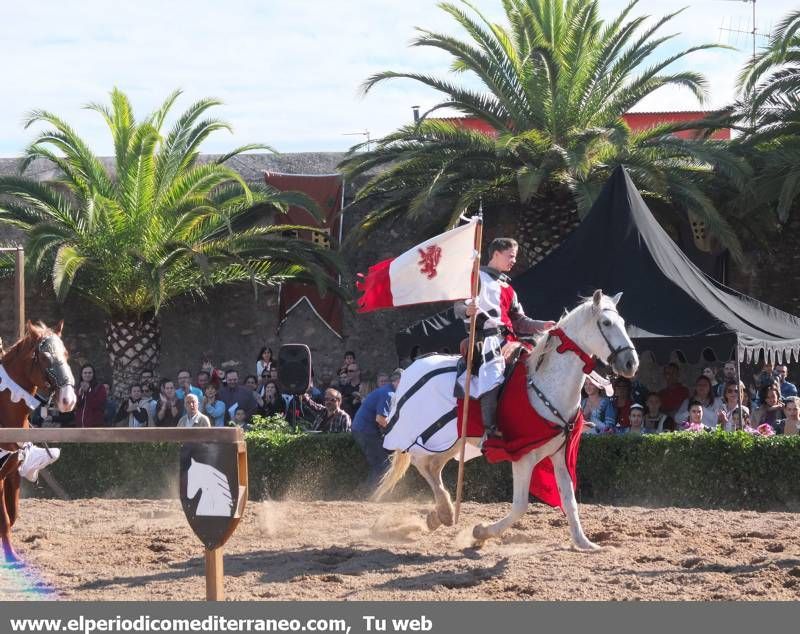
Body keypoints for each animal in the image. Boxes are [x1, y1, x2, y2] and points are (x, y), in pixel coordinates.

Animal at [0, 324, 76, 560]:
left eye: (66, 354)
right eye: (44, 357)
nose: (68, 399)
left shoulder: (13, 471)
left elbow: (12, 514)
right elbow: (4, 518)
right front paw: (11, 557)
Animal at [376, 290, 636, 548]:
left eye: (623, 323)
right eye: (606, 323)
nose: (631, 363)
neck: (545, 385)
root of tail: (414, 366)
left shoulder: (559, 454)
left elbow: (569, 500)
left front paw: (584, 543)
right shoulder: (523, 457)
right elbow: (520, 506)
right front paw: (480, 532)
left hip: (452, 441)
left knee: (433, 466)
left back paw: (440, 514)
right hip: (428, 437)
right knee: (420, 462)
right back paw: (446, 512)